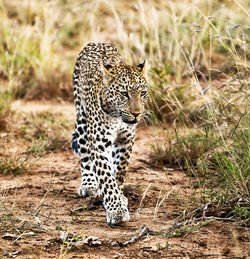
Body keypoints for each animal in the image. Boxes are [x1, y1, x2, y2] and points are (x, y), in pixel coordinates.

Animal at [70, 42, 148, 225]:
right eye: (124, 94)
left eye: (142, 93)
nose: (136, 113)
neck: (117, 117)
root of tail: (96, 42)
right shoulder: (100, 144)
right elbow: (106, 176)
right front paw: (116, 210)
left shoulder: (126, 140)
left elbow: (118, 171)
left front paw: (120, 199)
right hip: (82, 117)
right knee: (85, 154)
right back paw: (89, 184)